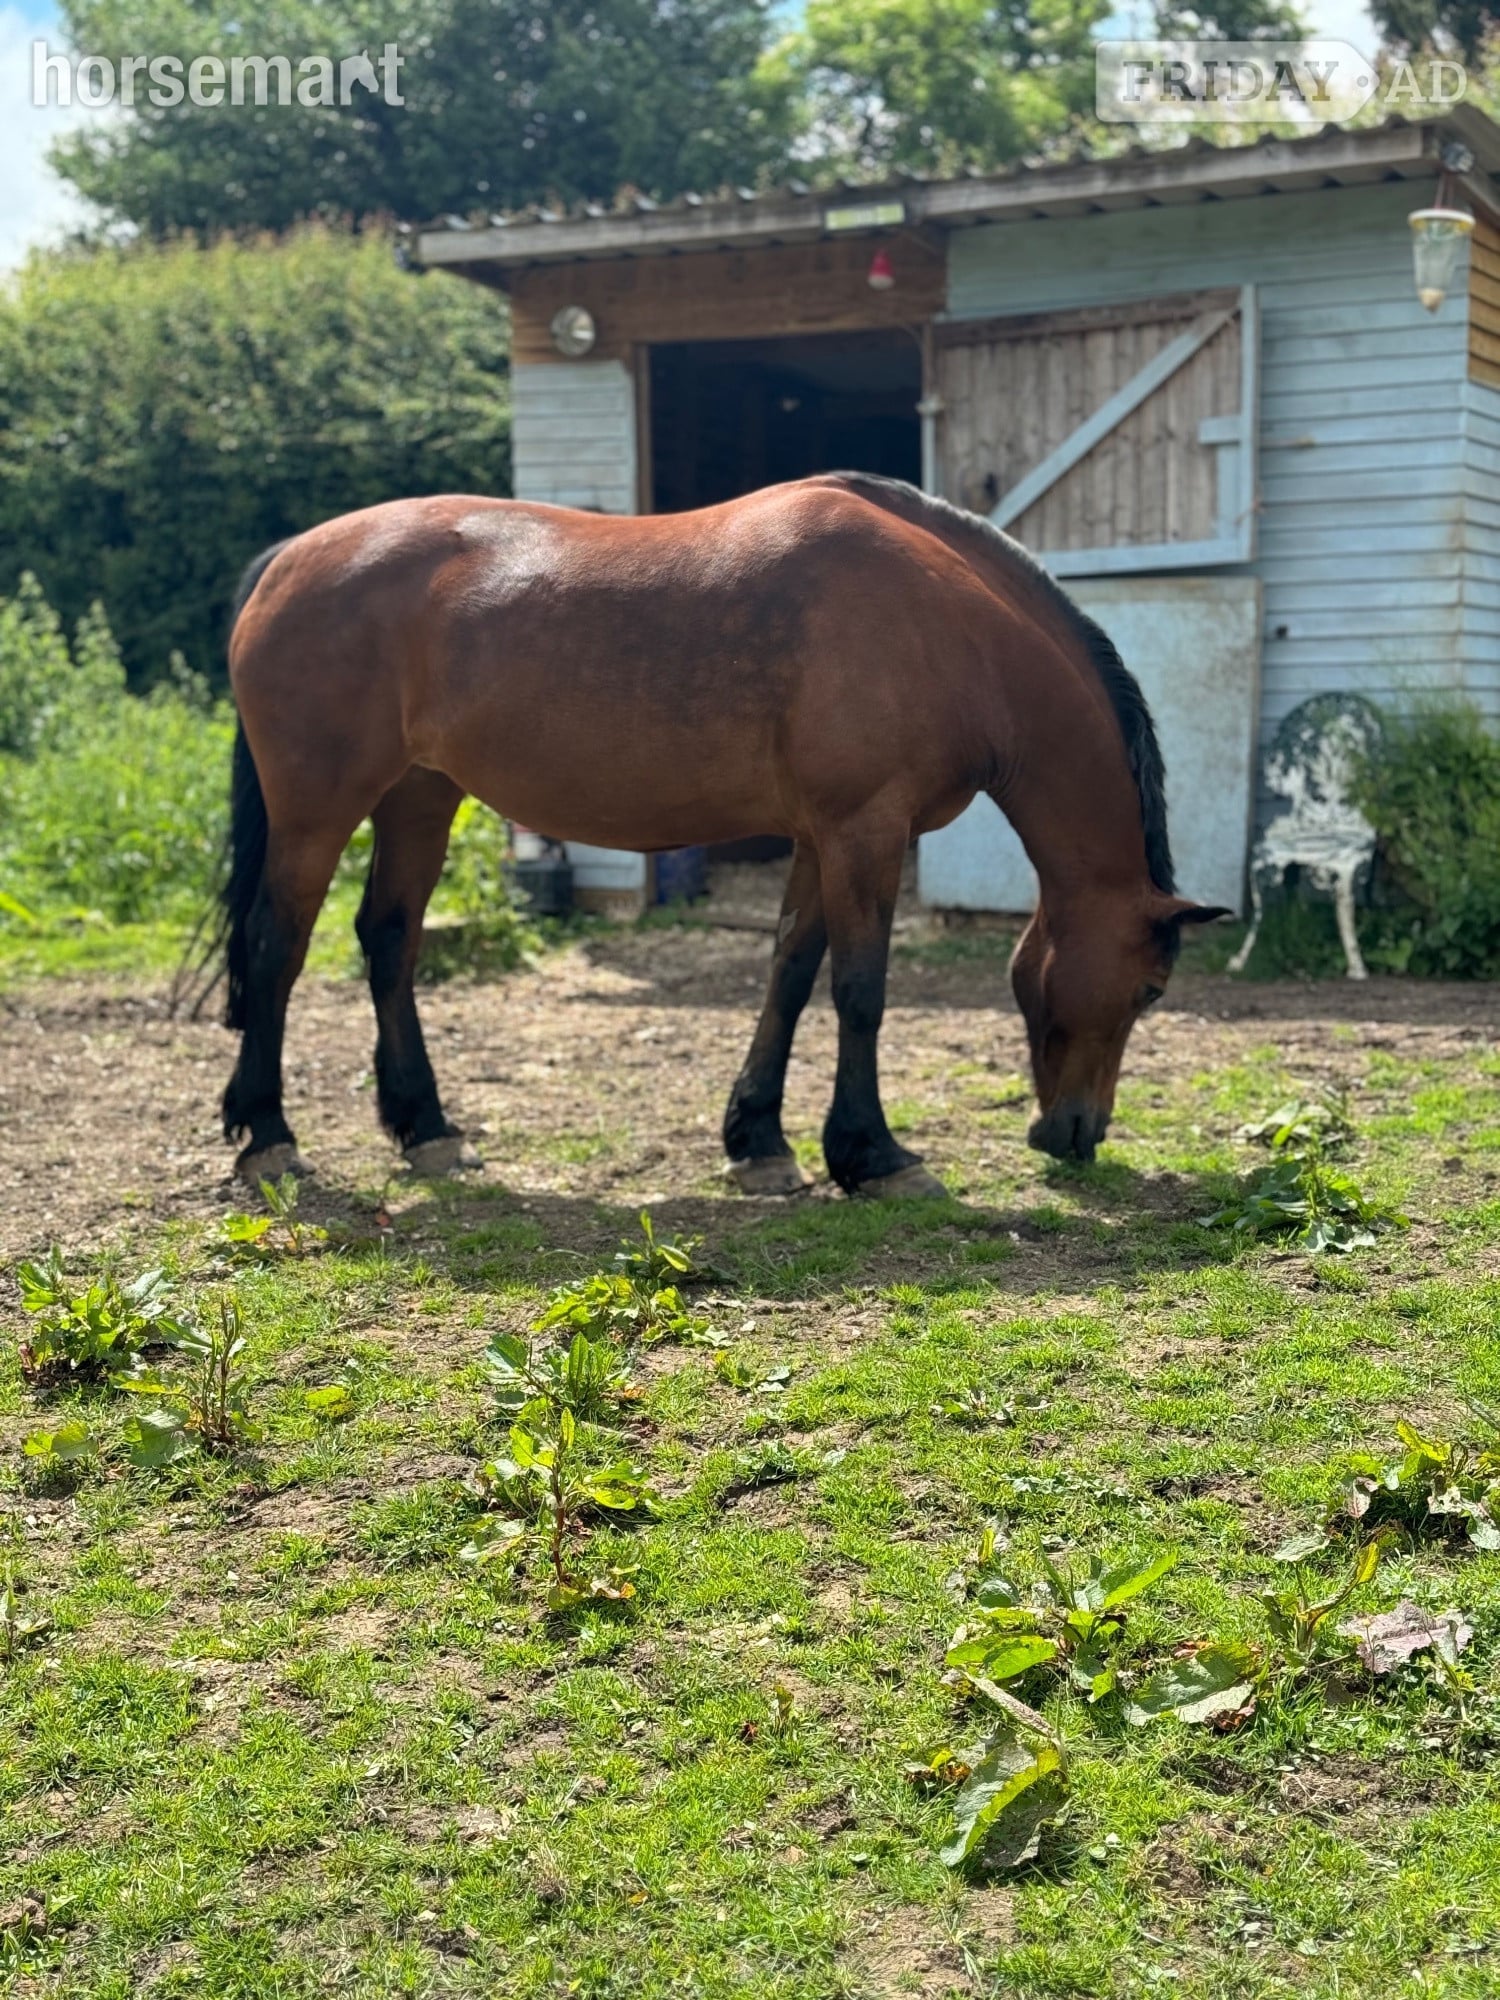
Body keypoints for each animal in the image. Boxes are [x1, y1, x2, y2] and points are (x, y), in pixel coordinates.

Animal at [213, 472, 1226, 1197]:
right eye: (1151, 990)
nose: (1077, 1134)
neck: (949, 629)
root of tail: (287, 558)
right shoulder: (866, 829)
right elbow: (860, 991)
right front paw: (874, 1154)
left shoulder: (821, 839)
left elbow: (790, 975)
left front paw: (761, 1141)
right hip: (318, 809)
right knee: (275, 946)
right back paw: (269, 1138)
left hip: (420, 797)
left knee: (388, 942)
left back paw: (426, 1130)